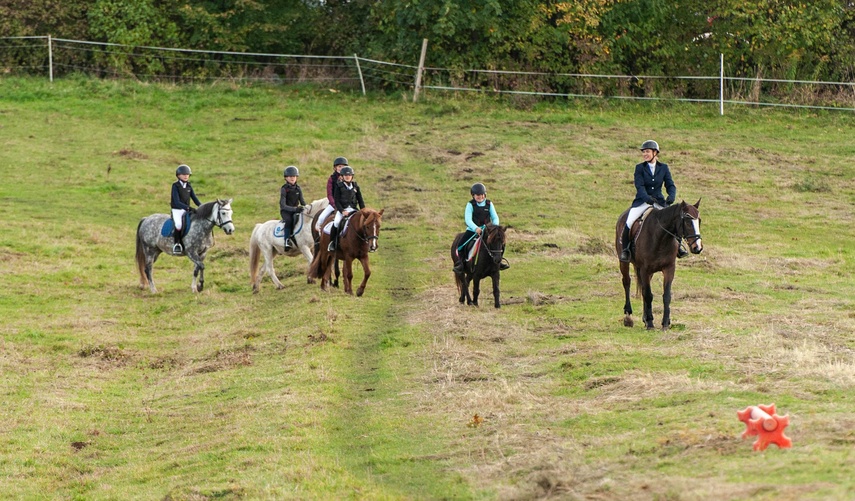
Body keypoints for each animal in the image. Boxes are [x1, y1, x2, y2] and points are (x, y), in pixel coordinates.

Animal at [620, 197, 704, 330]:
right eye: (687, 221)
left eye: (699, 221)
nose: (698, 248)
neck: (660, 238)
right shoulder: (644, 269)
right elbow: (648, 294)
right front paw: (650, 323)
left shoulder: (669, 268)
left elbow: (666, 296)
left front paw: (665, 323)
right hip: (624, 263)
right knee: (627, 282)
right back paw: (628, 316)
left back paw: (644, 318)